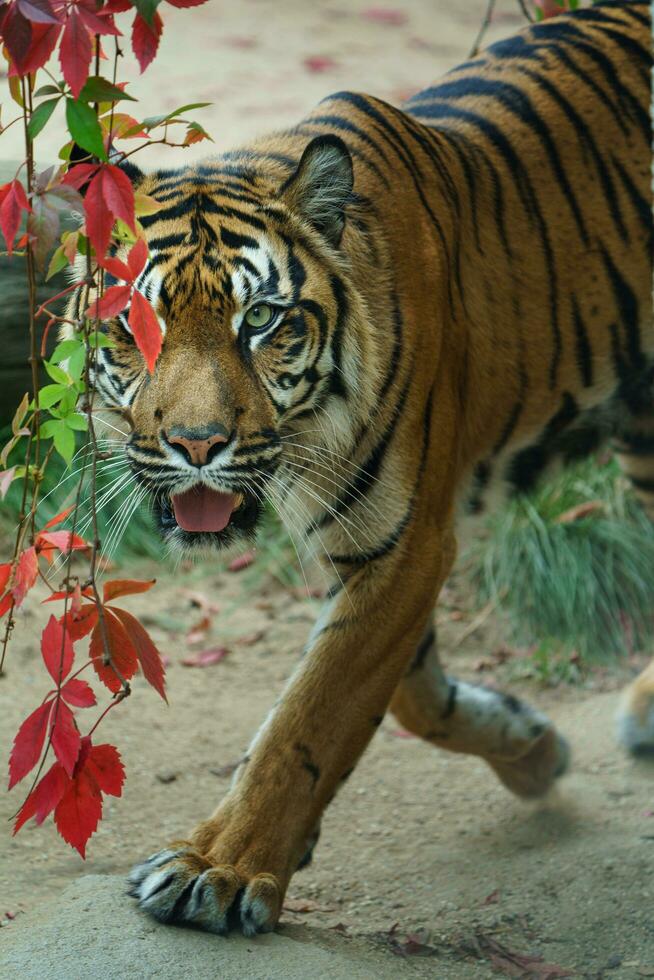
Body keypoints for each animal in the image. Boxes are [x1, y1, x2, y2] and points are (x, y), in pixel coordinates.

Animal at [65, 0, 652, 936]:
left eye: (261, 320)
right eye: (134, 324)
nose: (197, 443)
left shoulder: (405, 544)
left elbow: (313, 710)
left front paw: (219, 869)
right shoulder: (378, 553)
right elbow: (406, 693)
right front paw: (530, 746)